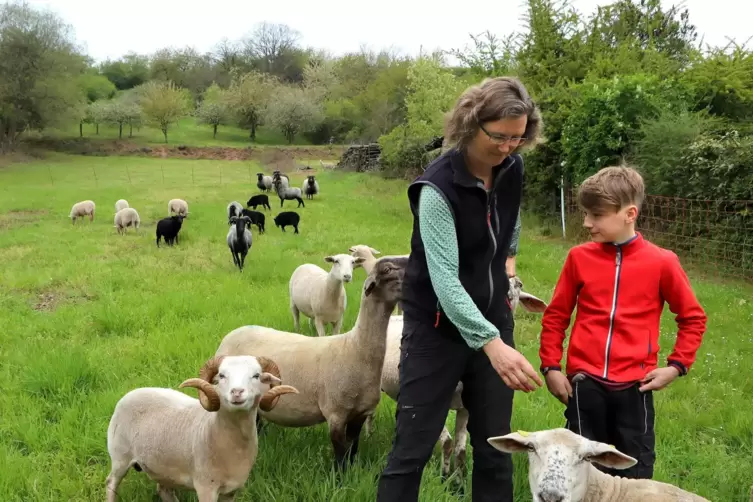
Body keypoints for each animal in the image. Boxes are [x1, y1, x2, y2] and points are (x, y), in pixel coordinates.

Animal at [104, 352, 298, 502]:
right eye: (222, 375)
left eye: (256, 375)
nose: (237, 392)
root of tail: (131, 392)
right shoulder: (206, 487)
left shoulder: (231, 491)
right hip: (120, 456)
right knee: (111, 483)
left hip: (161, 466)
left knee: (163, 490)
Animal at [212, 256, 412, 472]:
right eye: (388, 269)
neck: (354, 349)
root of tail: (230, 334)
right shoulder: (335, 413)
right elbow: (341, 455)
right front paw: (339, 478)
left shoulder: (360, 413)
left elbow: (352, 450)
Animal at [362, 274, 548, 482]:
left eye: (518, 287)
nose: (506, 297)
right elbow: (447, 443)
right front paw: (444, 476)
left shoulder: (465, 408)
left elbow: (460, 450)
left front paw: (459, 481)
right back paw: (368, 435)